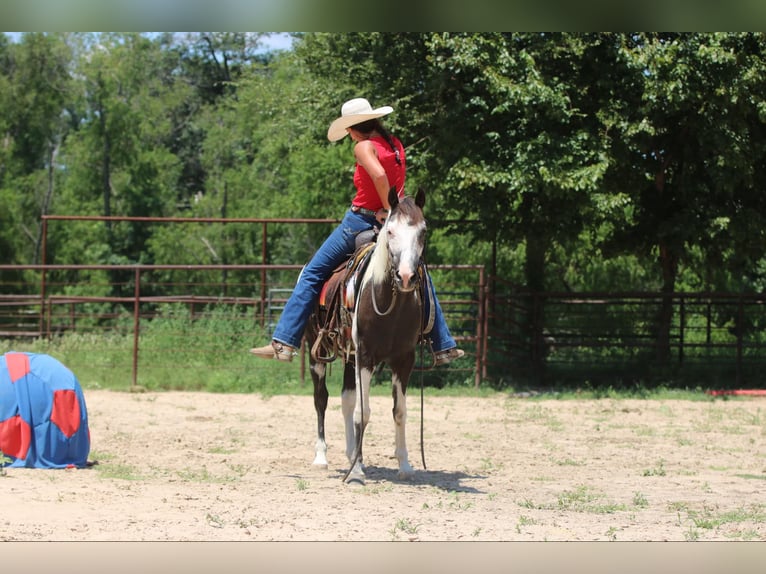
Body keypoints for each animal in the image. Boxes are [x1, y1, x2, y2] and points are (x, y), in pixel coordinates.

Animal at [304, 189, 426, 486]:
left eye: (423, 232)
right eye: (390, 231)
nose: (406, 277)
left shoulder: (404, 360)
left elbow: (399, 411)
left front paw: (404, 465)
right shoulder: (366, 357)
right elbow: (364, 412)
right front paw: (357, 470)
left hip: (350, 357)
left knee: (346, 400)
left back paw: (350, 453)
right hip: (317, 354)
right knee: (321, 399)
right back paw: (322, 457)